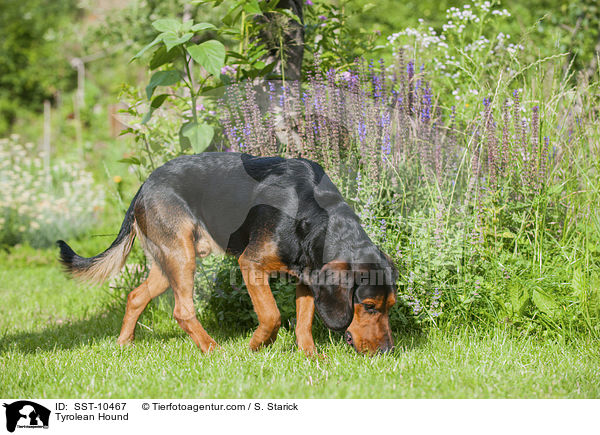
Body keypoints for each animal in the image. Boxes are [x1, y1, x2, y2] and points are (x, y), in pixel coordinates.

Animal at [57, 152, 398, 354]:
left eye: (390, 306)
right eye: (368, 307)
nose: (388, 351)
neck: (315, 214)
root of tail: (143, 185)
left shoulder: (308, 276)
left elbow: (303, 323)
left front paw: (311, 358)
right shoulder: (252, 264)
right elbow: (272, 315)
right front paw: (258, 344)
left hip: (168, 262)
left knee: (136, 296)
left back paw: (124, 344)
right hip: (182, 256)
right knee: (182, 310)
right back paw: (212, 350)